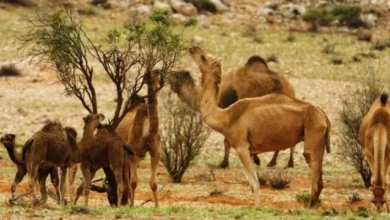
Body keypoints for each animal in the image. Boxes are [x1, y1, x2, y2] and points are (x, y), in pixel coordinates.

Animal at [115, 72, 161, 208]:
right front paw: (131, 206)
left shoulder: (155, 152)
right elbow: (134, 181)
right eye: (147, 78)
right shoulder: (132, 152)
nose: (154, 87)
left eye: (158, 78)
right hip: (122, 152)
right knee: (123, 176)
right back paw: (122, 202)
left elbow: (154, 183)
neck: (147, 133)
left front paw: (157, 206)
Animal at [168, 55, 296, 168]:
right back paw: (274, 162)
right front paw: (254, 159)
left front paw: (224, 164)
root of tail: (290, 87)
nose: (168, 74)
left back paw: (286, 163)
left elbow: (227, 141)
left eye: (180, 74)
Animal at [187, 45, 330, 207]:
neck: (225, 117)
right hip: (320, 141)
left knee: (314, 174)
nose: (193, 48)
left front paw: (257, 207)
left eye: (204, 58)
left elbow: (254, 184)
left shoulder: (242, 147)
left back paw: (308, 206)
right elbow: (252, 183)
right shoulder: (250, 151)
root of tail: (322, 114)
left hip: (313, 133)